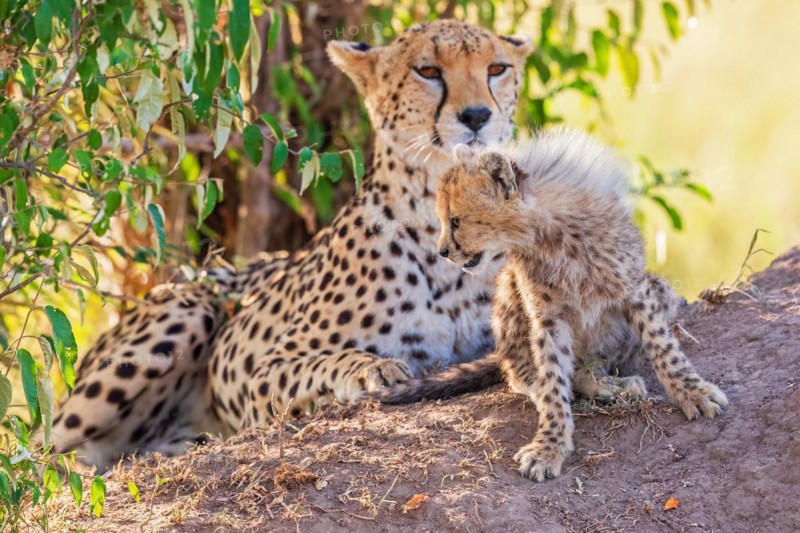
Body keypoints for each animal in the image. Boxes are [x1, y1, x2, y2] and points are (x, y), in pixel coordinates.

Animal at [430, 127, 729, 482]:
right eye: (446, 220)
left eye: (456, 221)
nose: (442, 251)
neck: (549, 233)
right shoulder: (548, 318)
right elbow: (552, 379)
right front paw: (550, 446)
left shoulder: (635, 291)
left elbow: (664, 348)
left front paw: (693, 393)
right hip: (510, 294)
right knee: (521, 373)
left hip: (661, 293)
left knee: (589, 369)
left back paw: (614, 384)